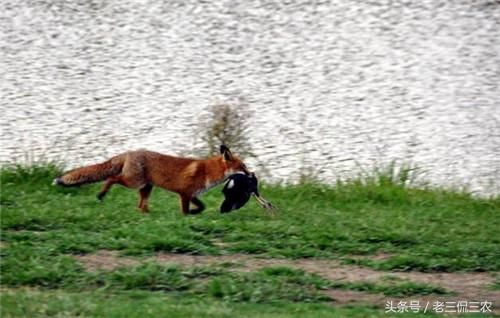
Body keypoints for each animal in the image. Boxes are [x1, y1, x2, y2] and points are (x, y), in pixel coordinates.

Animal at [53, 145, 249, 215]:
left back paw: (148, 213)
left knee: (141, 205)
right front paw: (188, 216)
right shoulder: (185, 193)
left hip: (146, 187)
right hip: (133, 182)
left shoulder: (193, 194)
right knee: (111, 178)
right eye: (243, 166)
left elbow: (202, 206)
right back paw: (101, 195)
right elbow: (186, 210)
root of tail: (129, 152)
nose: (251, 173)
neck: (208, 171)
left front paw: (196, 212)